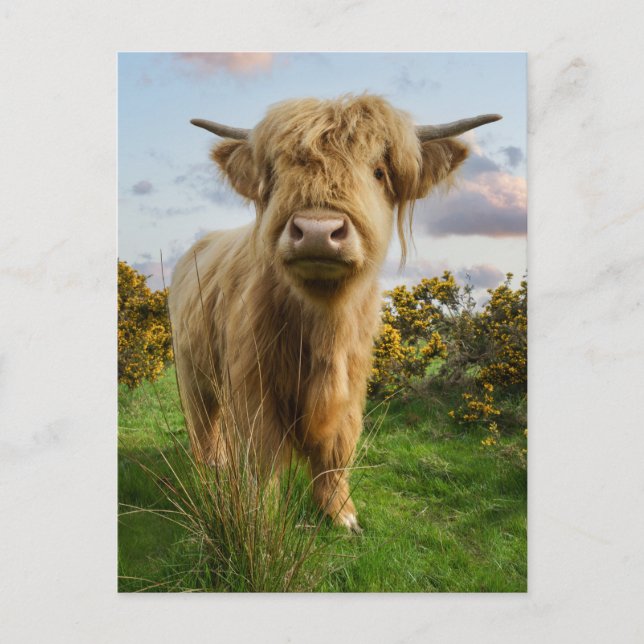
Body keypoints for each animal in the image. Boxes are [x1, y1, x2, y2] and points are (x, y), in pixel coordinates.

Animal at [168, 95, 500, 532]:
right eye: (275, 174)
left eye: (378, 172)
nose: (316, 231)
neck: (324, 325)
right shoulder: (253, 381)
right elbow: (262, 455)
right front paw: (260, 518)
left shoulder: (353, 380)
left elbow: (337, 449)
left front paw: (341, 514)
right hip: (191, 367)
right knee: (204, 419)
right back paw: (211, 465)